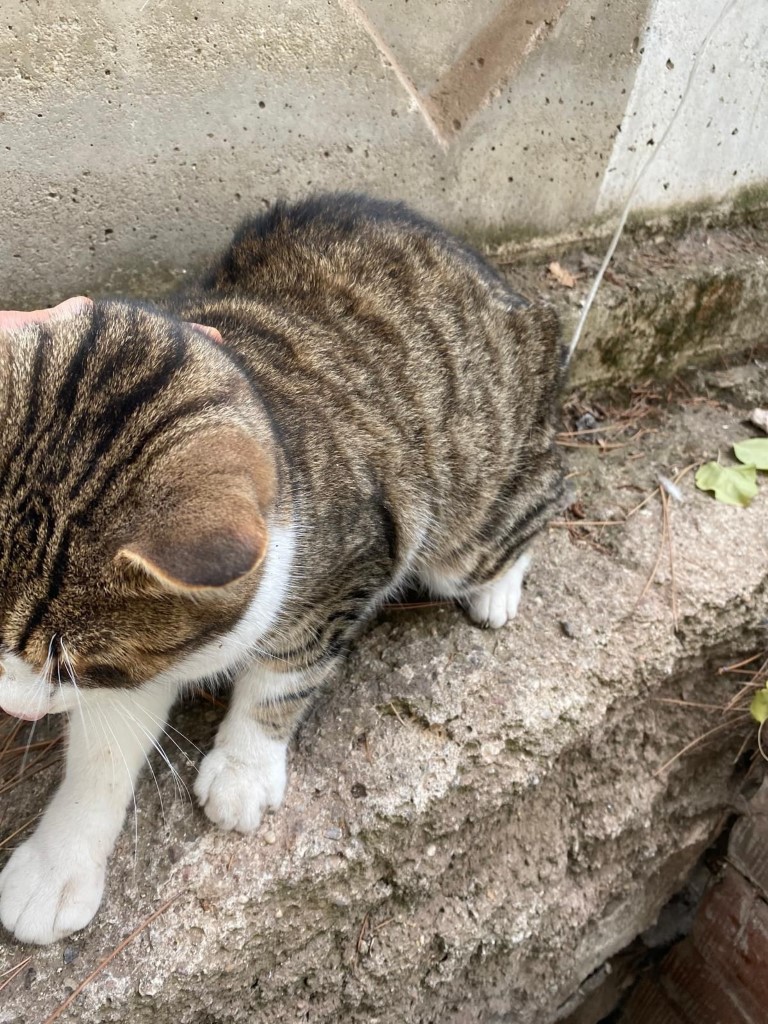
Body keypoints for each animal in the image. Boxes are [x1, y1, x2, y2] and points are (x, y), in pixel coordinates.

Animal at [0, 193, 565, 942]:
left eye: (70, 665)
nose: (8, 705)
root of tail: (509, 291)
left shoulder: (354, 562)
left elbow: (286, 674)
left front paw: (244, 770)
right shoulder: (151, 657)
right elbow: (104, 750)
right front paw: (58, 866)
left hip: (470, 512)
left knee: (542, 496)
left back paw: (499, 586)